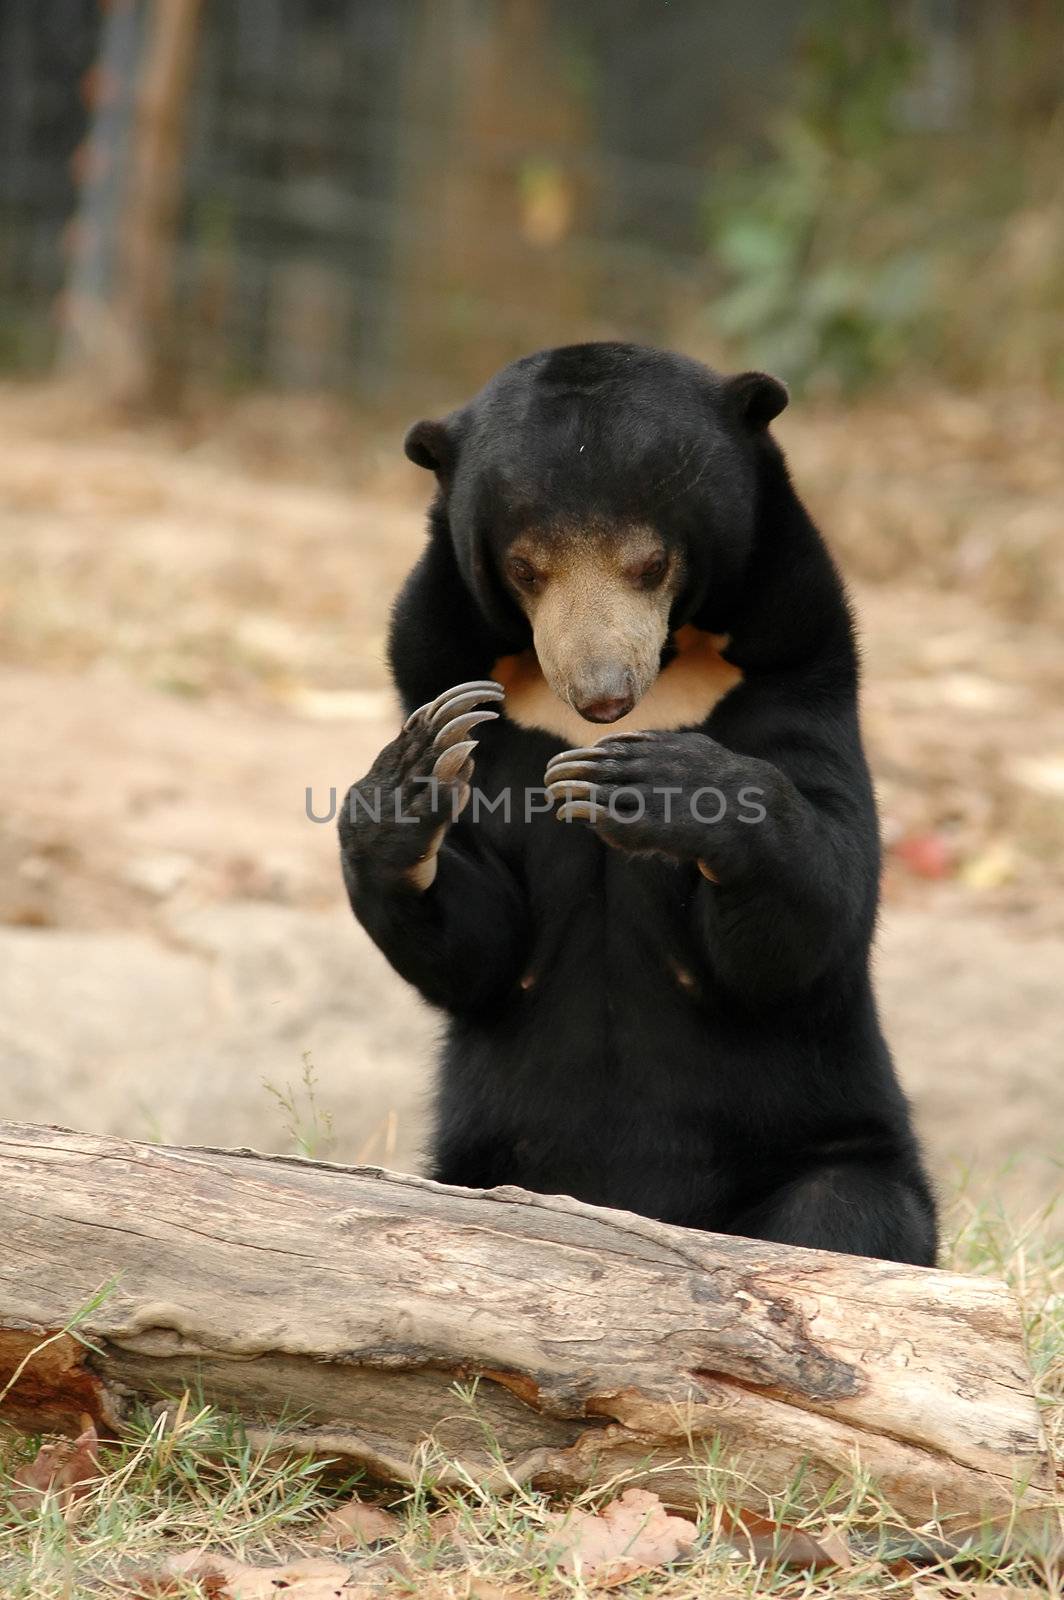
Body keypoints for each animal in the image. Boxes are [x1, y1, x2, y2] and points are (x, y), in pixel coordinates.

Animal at [336, 344, 934, 1267]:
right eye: (525, 569)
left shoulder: (797, 665)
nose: (602, 698)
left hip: (823, 1140)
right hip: (476, 1166)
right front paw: (416, 770)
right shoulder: (439, 662)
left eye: (651, 564)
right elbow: (483, 943)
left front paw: (646, 783)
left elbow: (810, 917)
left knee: (846, 1208)